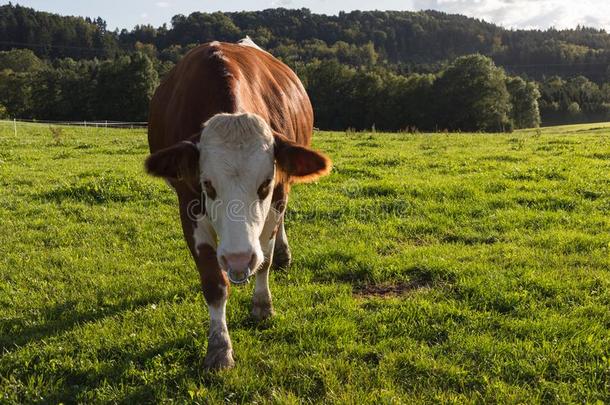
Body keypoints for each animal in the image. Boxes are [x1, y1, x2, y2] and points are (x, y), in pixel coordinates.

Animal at [144, 38, 330, 370]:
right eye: (207, 184)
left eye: (264, 184)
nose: (238, 260)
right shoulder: (188, 203)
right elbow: (214, 282)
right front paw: (219, 347)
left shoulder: (279, 189)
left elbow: (264, 259)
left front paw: (262, 305)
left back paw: (283, 254)